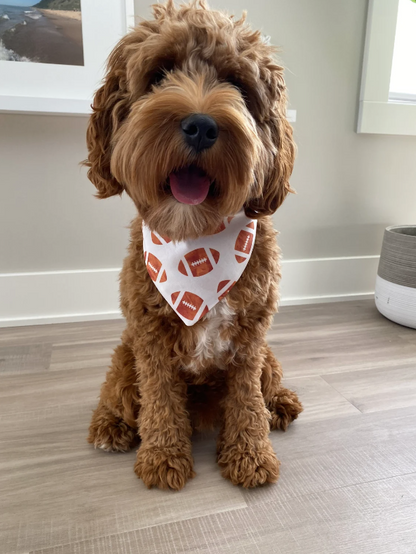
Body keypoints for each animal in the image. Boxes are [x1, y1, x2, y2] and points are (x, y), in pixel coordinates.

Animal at [84, 1, 302, 492]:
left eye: (238, 84)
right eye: (159, 73)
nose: (201, 125)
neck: (197, 240)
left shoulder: (251, 338)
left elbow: (247, 399)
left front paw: (250, 455)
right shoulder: (150, 339)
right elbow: (160, 399)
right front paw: (163, 457)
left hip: (268, 356)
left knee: (269, 381)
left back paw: (280, 402)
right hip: (125, 355)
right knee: (117, 391)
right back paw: (110, 426)